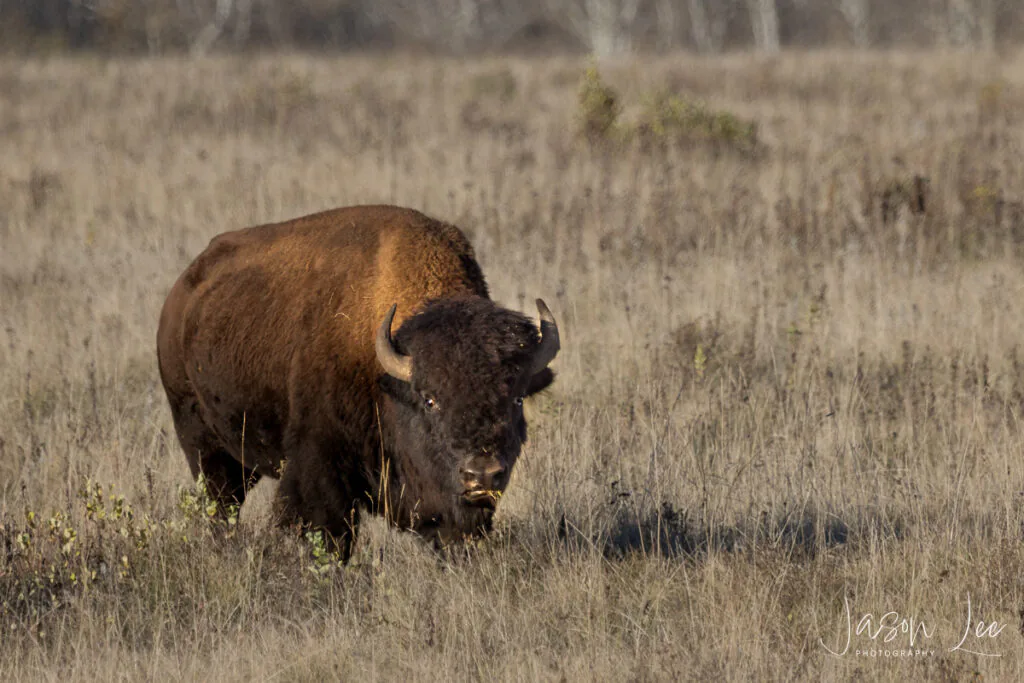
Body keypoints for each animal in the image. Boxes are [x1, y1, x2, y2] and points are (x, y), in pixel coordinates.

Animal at [157, 204, 558, 558]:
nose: (482, 475)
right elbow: (330, 534)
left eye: (517, 399)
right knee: (222, 504)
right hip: (203, 445)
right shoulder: (320, 468)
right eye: (429, 399)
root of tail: (181, 293)